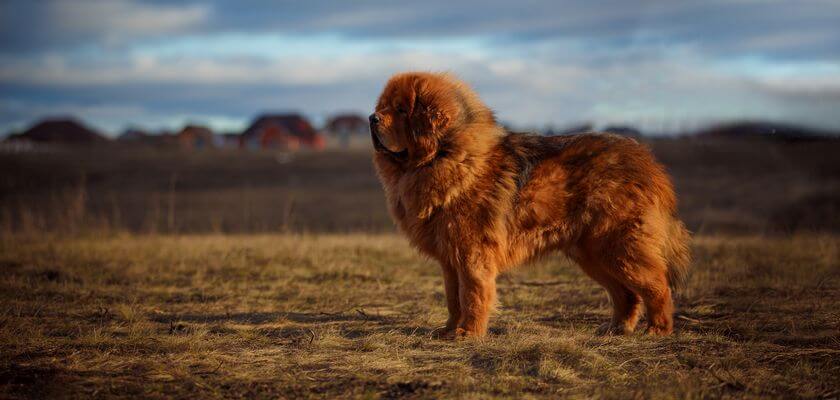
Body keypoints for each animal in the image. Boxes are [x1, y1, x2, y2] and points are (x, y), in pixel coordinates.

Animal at [370, 72, 692, 338]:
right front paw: (449, 330)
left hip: (618, 245)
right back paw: (615, 328)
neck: (445, 154)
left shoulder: (472, 254)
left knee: (657, 285)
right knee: (626, 294)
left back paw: (657, 330)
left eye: (401, 110)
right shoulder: (450, 258)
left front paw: (468, 333)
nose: (372, 118)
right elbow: (453, 298)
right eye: (383, 106)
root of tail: (648, 162)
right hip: (591, 253)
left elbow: (472, 295)